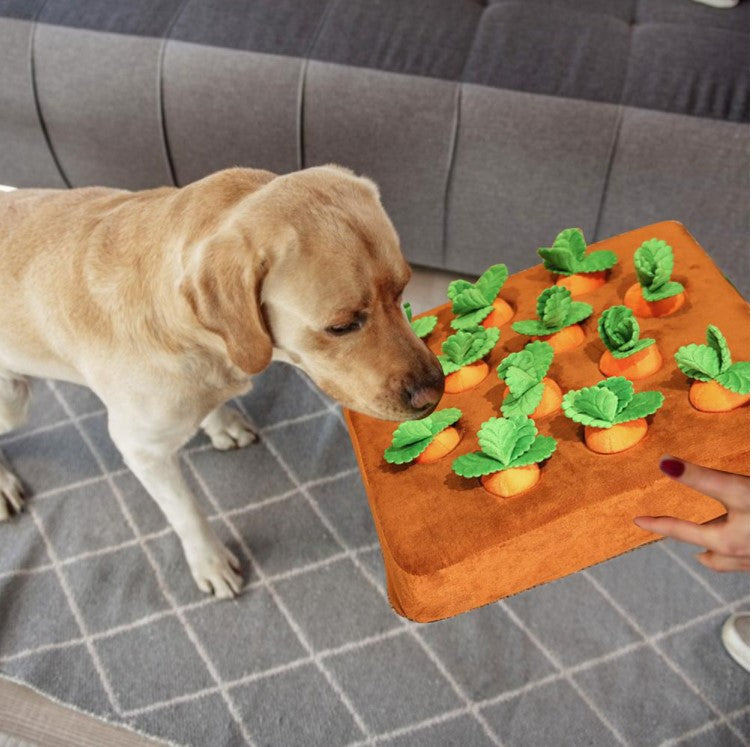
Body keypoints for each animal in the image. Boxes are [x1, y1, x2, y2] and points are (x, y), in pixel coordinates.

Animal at [0, 167, 444, 600]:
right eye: (342, 326)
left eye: (403, 290)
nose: (435, 391)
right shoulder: (141, 448)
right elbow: (186, 513)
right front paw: (210, 562)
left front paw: (221, 423)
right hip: (13, 400)